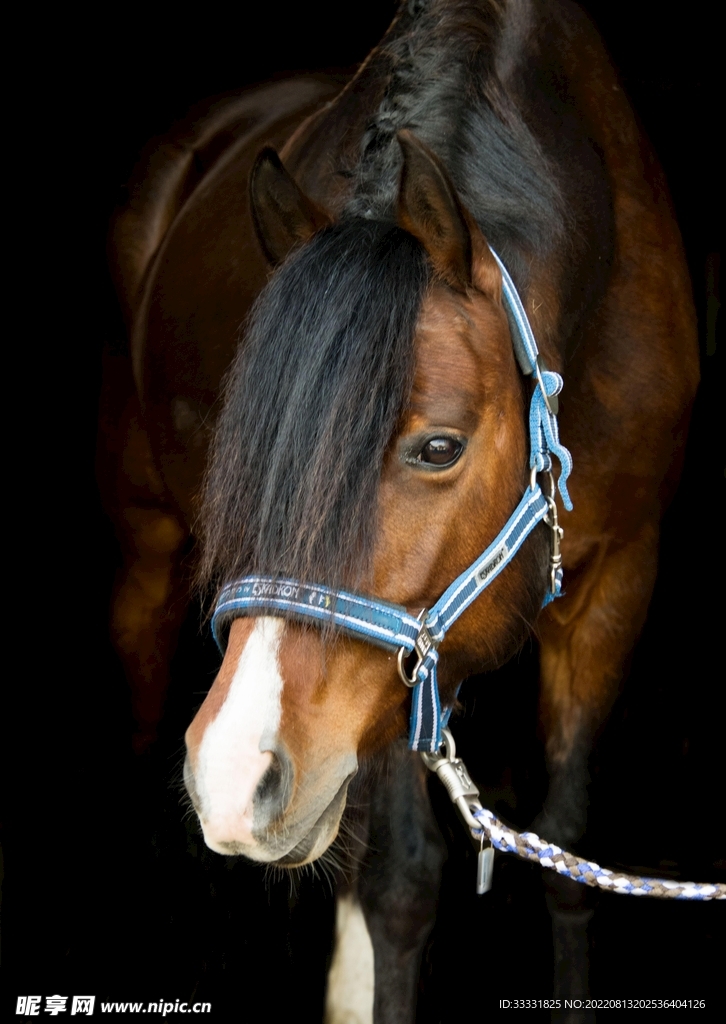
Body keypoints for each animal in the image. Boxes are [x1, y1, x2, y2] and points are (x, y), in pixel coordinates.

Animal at [101, 0, 699, 1018]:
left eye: (438, 448)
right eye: (248, 446)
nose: (231, 773)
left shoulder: (617, 582)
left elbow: (565, 860)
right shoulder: (382, 680)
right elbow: (402, 887)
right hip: (144, 556)